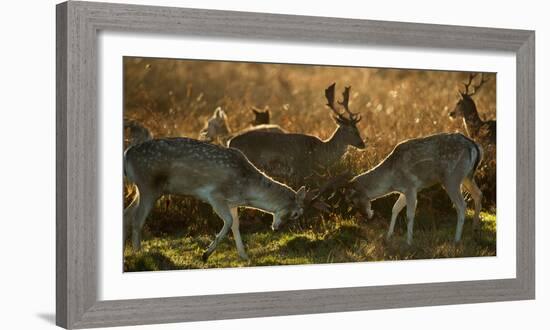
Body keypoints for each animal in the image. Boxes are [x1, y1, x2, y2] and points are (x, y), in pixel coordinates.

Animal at [122, 137, 328, 260]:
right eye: (296, 214)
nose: (277, 228)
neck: (246, 191)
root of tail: (127, 154)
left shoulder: (232, 202)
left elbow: (236, 224)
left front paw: (244, 256)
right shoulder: (214, 195)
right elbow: (228, 221)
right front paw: (206, 254)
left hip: (143, 189)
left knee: (126, 214)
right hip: (148, 185)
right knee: (137, 219)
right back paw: (139, 253)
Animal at [227, 82, 366, 180]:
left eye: (357, 128)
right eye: (350, 130)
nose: (362, 144)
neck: (319, 153)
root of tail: (230, 142)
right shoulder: (301, 169)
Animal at [348, 133, 486, 244]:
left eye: (353, 200)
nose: (366, 216)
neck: (391, 180)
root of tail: (474, 146)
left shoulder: (410, 186)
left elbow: (409, 214)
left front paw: (409, 241)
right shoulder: (406, 190)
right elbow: (395, 208)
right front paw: (388, 237)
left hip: (452, 178)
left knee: (462, 205)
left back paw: (456, 240)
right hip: (467, 176)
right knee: (478, 194)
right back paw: (475, 230)